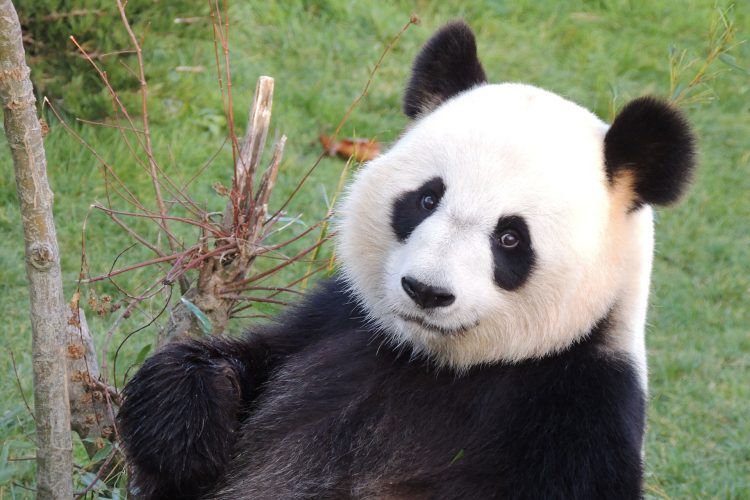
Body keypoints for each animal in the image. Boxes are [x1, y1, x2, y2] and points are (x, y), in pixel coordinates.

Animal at [118, 21, 695, 499]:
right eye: (426, 199)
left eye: (511, 238)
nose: (426, 291)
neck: (435, 362)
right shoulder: (338, 322)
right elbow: (234, 366)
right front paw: (188, 421)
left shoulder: (576, 416)